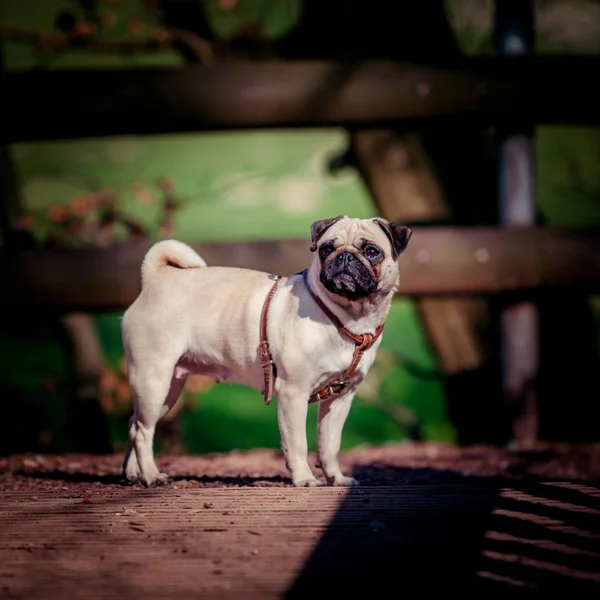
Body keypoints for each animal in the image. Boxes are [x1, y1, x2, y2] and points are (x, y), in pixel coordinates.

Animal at [122, 216, 412, 488]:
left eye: (372, 251)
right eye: (326, 249)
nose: (344, 256)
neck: (347, 317)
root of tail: (156, 280)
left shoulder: (340, 399)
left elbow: (329, 445)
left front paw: (336, 478)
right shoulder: (293, 393)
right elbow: (298, 443)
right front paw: (305, 479)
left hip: (168, 389)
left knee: (134, 424)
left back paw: (133, 474)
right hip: (153, 379)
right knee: (143, 431)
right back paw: (151, 476)